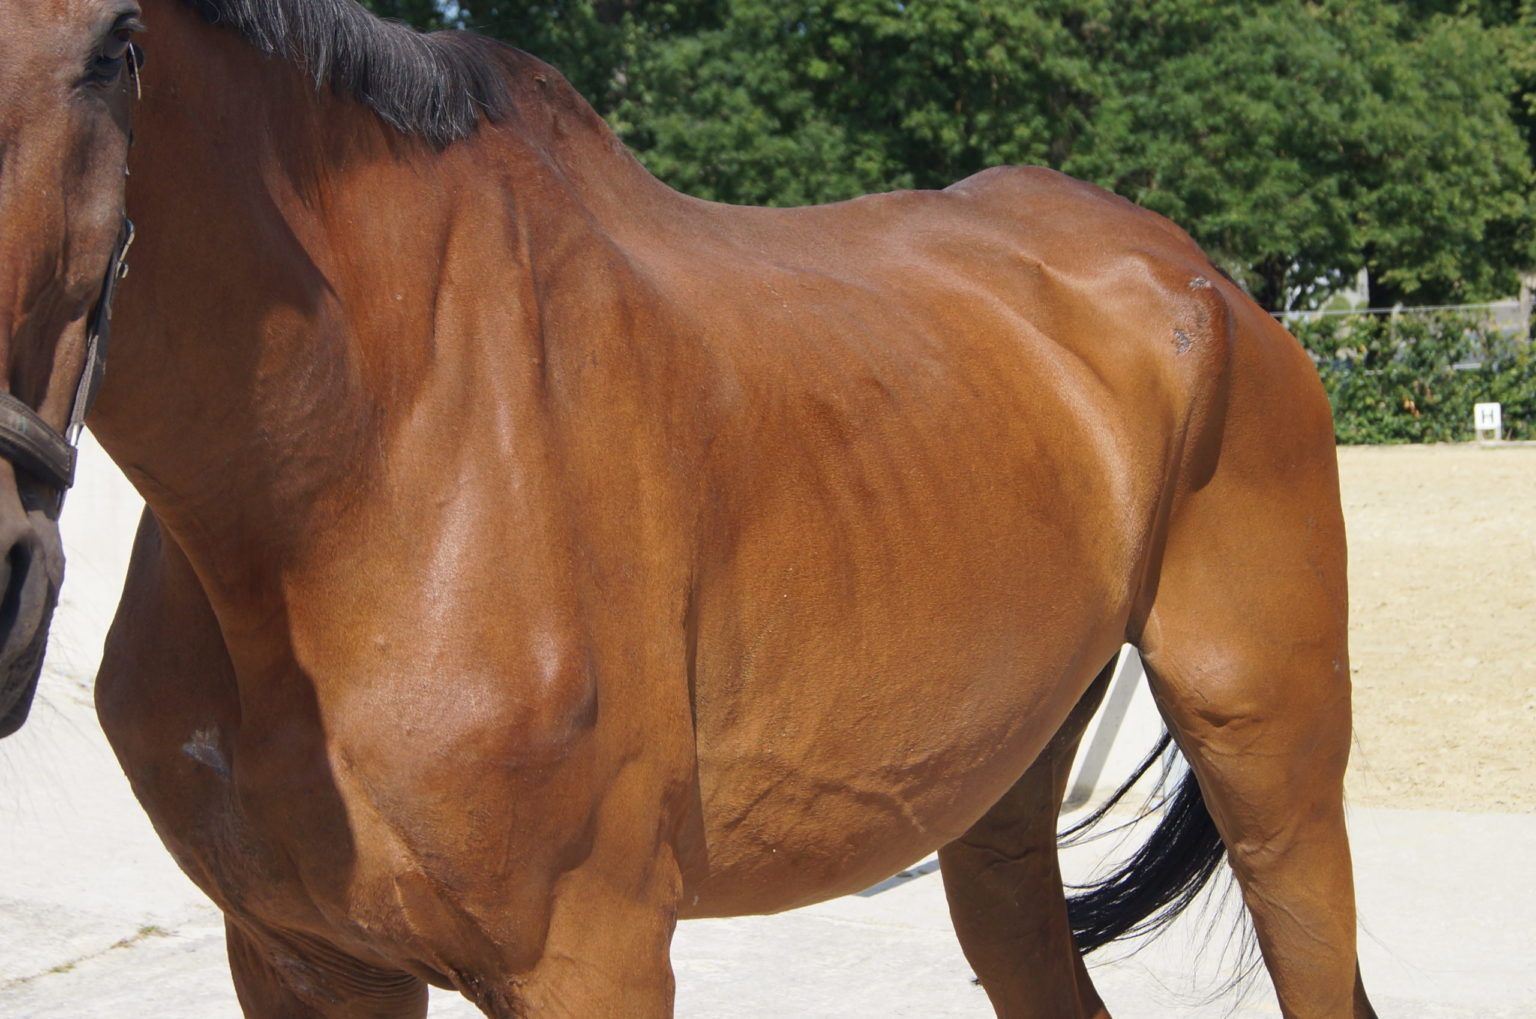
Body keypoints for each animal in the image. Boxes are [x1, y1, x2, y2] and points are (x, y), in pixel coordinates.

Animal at [1, 2, 1378, 1016]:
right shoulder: (305, 960)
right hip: (997, 807)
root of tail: (1210, 285)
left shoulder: (588, 954)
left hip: (1275, 767)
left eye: (116, 42)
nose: (7, 573)